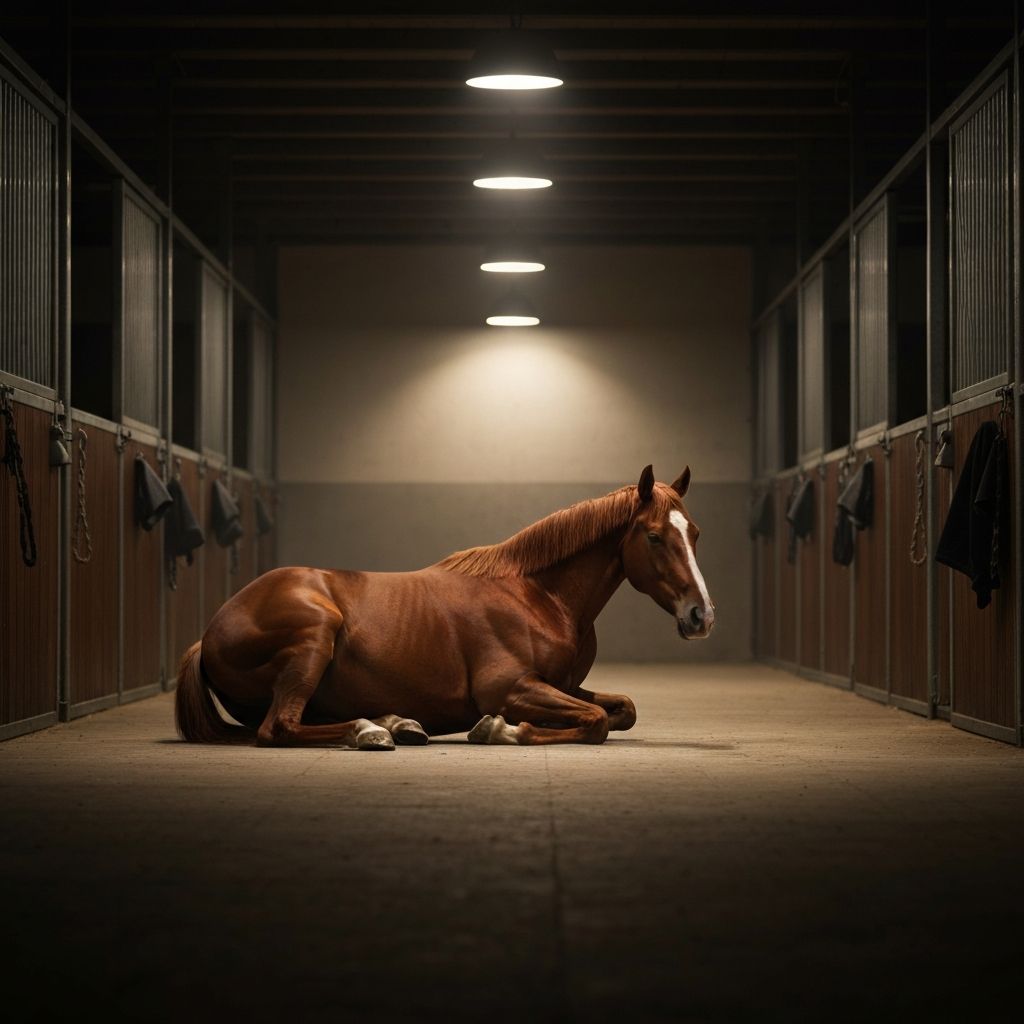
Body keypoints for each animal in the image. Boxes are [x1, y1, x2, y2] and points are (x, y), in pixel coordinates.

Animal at [174, 464, 715, 749]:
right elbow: (596, 721)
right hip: (314, 635)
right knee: (278, 727)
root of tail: (208, 635)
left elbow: (622, 710)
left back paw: (399, 723)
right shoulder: (511, 687)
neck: (538, 596)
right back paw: (372, 731)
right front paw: (500, 729)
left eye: (694, 533)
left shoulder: (564, 685)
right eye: (654, 536)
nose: (701, 615)